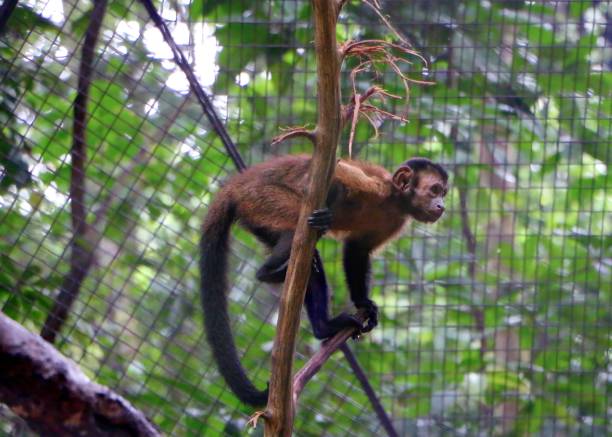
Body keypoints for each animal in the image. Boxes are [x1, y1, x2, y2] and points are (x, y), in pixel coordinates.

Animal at [201, 154, 450, 406]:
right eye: (434, 190)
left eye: (443, 193)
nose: (442, 206)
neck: (393, 200)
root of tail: (237, 185)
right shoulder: (376, 185)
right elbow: (334, 172)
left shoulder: (394, 221)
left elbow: (357, 249)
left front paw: (364, 304)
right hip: (259, 198)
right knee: (296, 225)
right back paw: (269, 271)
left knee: (309, 261)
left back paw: (323, 326)